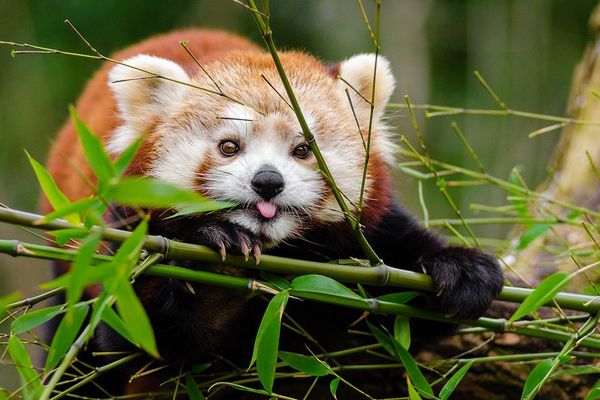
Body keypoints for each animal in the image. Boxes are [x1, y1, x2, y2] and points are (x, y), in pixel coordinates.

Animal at [44, 28, 504, 396]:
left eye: (302, 149)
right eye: (229, 146)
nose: (268, 181)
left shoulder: (370, 239)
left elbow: (406, 299)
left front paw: (463, 269)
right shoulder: (130, 237)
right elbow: (136, 335)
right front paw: (218, 261)